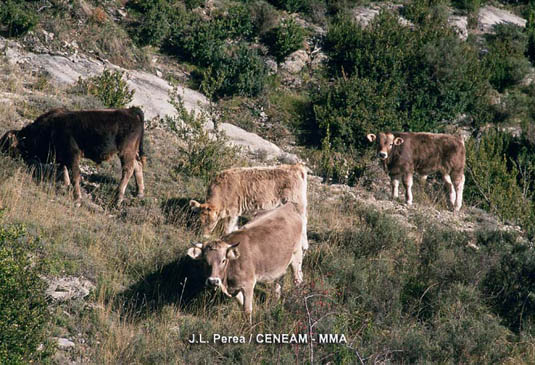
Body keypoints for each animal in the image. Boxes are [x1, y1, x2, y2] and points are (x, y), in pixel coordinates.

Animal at [0, 107, 146, 205]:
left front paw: (77, 198)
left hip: (126, 152)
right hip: (132, 153)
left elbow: (75, 175)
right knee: (137, 166)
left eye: (7, 144)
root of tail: (131, 111)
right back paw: (139, 193)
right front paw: (66, 185)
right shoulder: (62, 157)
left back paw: (118, 198)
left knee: (128, 170)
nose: (1, 154)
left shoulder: (73, 155)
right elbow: (64, 170)